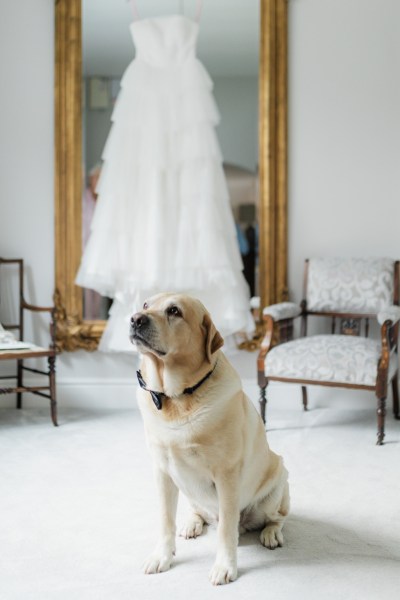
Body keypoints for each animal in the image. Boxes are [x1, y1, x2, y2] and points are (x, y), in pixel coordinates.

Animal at [131, 292, 290, 584]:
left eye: (174, 311)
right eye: (146, 305)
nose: (136, 319)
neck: (178, 397)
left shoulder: (226, 475)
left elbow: (227, 530)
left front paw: (225, 566)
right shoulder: (162, 471)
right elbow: (165, 520)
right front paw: (162, 556)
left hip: (277, 483)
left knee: (277, 517)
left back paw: (271, 533)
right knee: (198, 512)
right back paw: (192, 523)